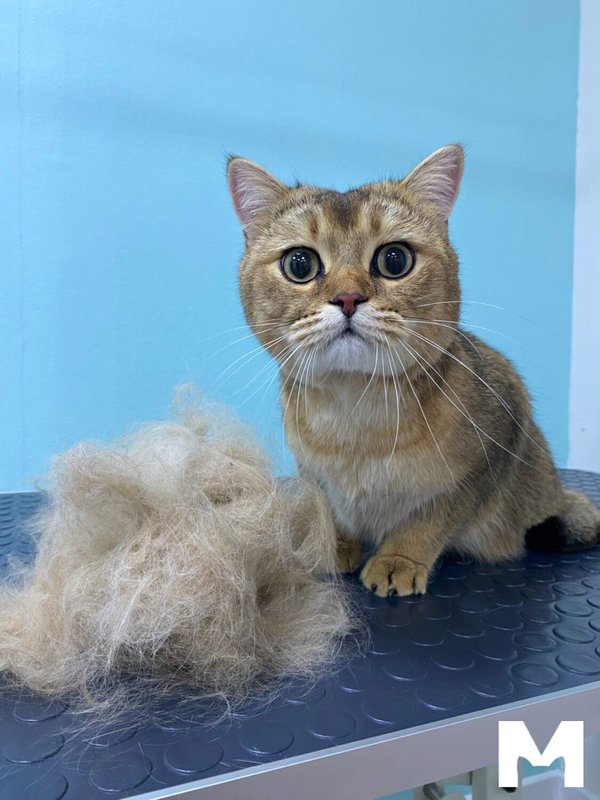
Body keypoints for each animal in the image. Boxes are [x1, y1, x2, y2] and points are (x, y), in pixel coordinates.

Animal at [226, 145, 600, 597]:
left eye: (395, 260)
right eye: (299, 264)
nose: (348, 298)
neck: (355, 414)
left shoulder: (489, 457)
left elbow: (431, 517)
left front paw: (398, 560)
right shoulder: (310, 471)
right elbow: (326, 508)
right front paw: (332, 545)